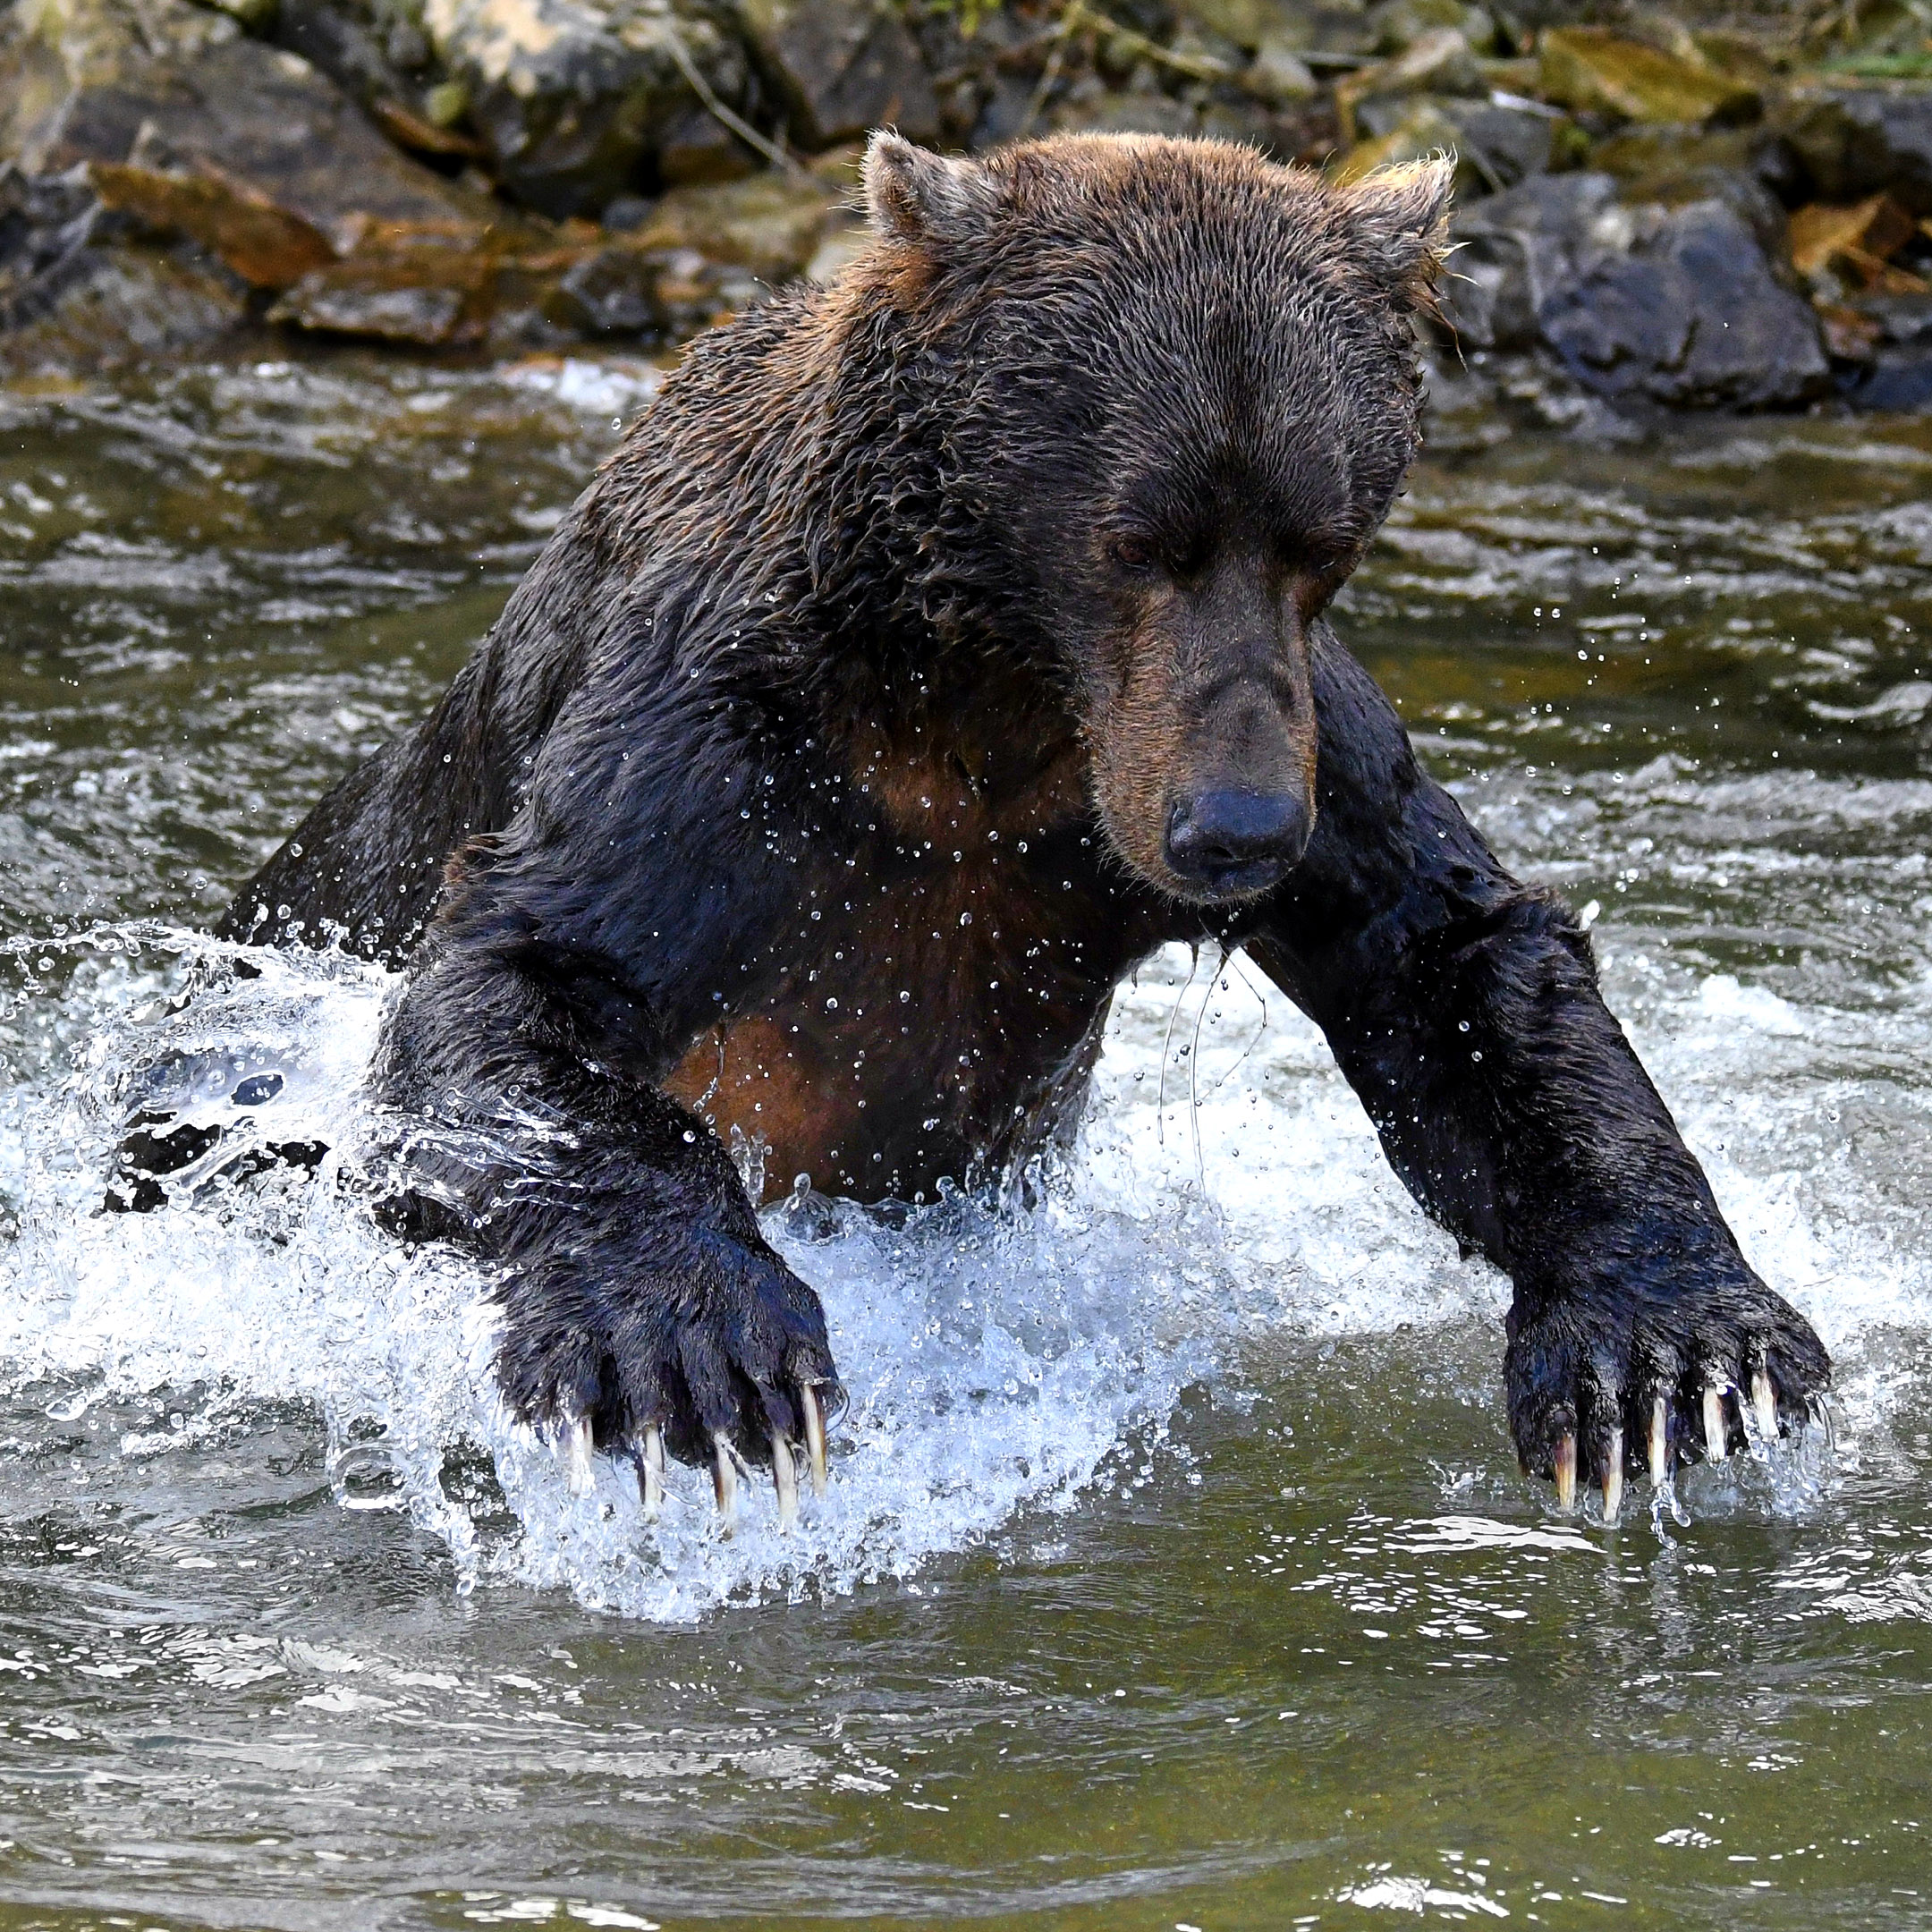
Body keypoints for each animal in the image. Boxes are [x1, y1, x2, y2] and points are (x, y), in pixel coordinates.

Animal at [211, 131, 1824, 1522]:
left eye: (1321, 536)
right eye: (1138, 537)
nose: (1239, 833)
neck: (982, 699)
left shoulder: (1256, 745)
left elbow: (1453, 958)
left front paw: (1676, 1358)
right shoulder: (729, 734)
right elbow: (528, 976)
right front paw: (698, 1359)